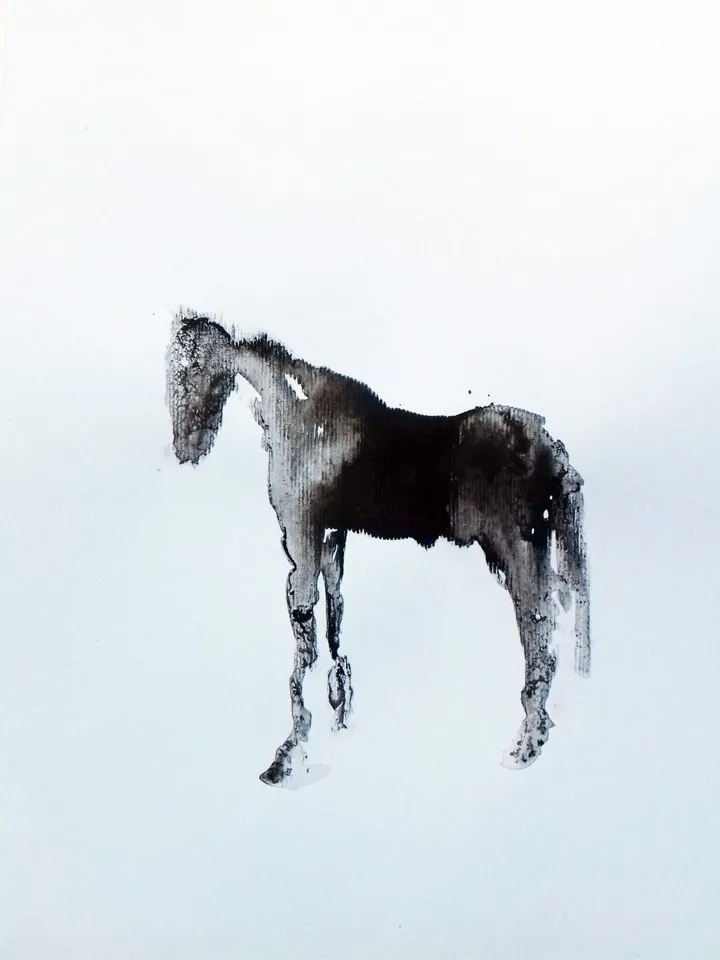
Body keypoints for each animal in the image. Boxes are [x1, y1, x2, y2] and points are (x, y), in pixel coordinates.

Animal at [165, 307, 590, 786]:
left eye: (189, 366)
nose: (185, 447)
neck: (300, 412)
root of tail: (552, 453)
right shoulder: (331, 539)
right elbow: (332, 624)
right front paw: (338, 714)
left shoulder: (302, 542)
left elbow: (303, 638)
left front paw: (291, 752)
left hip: (516, 555)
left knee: (540, 631)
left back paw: (526, 743)